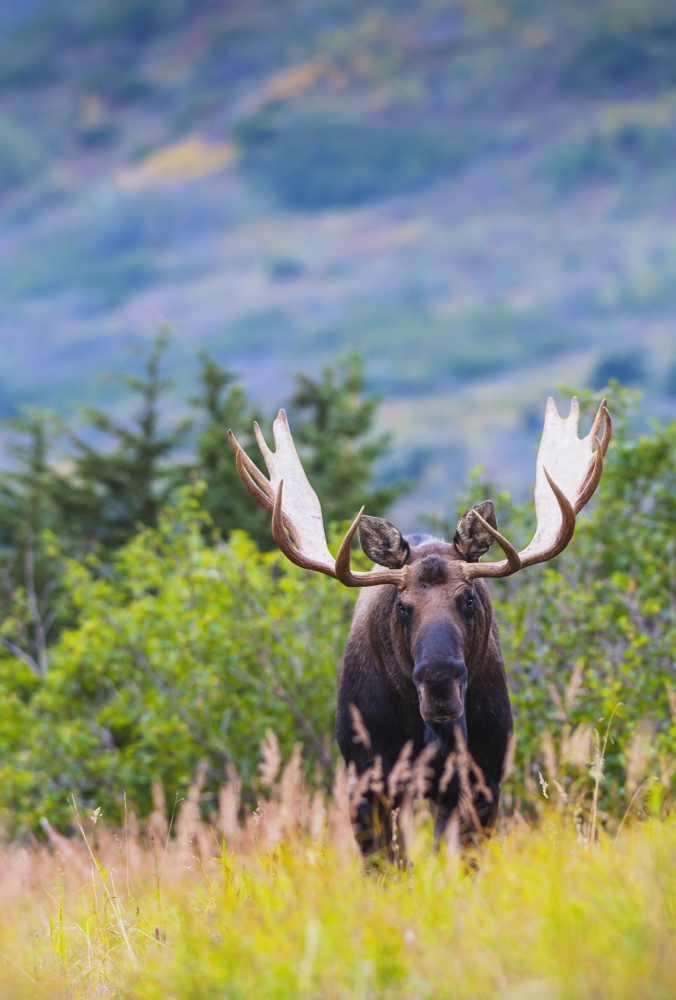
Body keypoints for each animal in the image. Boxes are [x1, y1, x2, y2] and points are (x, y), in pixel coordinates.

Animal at [229, 396, 611, 857]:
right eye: (402, 606)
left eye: (468, 597)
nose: (439, 683)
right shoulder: (367, 779)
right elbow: (385, 864)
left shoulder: (483, 778)